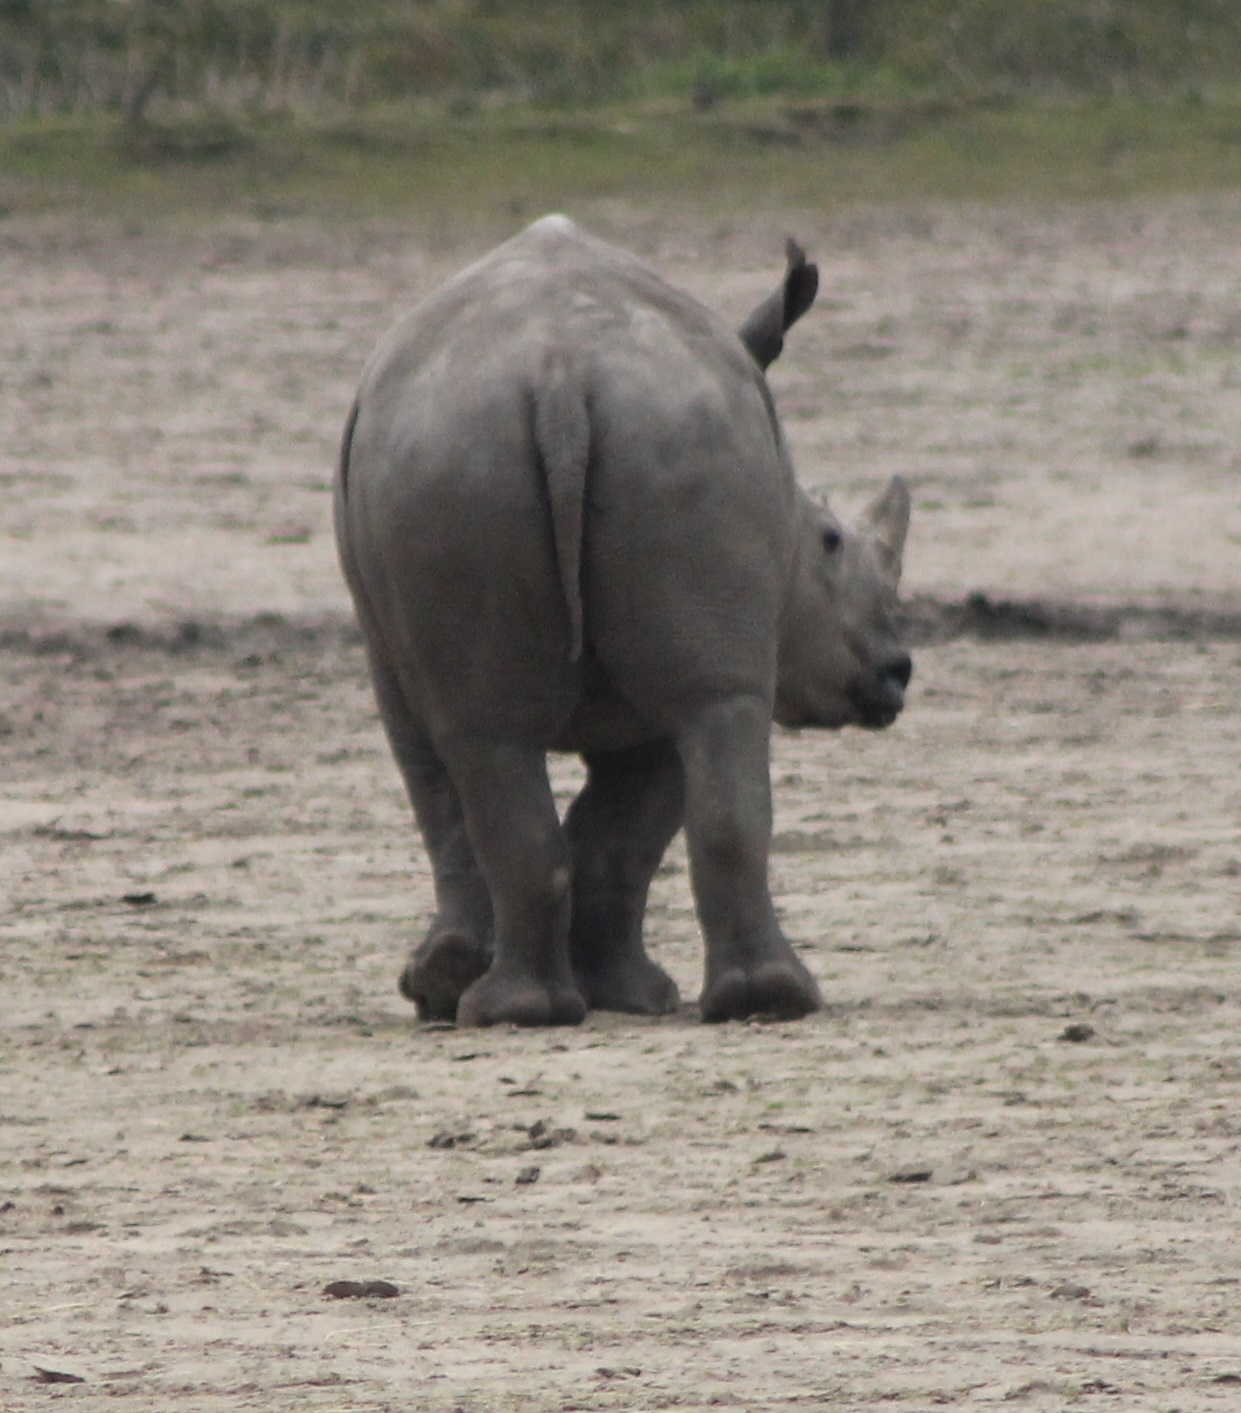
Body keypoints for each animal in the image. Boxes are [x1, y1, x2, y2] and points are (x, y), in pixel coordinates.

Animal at [334, 215, 911, 1027]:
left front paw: (452, 986)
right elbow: (608, 821)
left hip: (500, 455)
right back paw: (751, 999)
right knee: (698, 716)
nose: (897, 673)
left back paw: (518, 1008)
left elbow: (490, 806)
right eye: (830, 540)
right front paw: (624, 994)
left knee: (503, 740)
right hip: (627, 450)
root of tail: (559, 374)